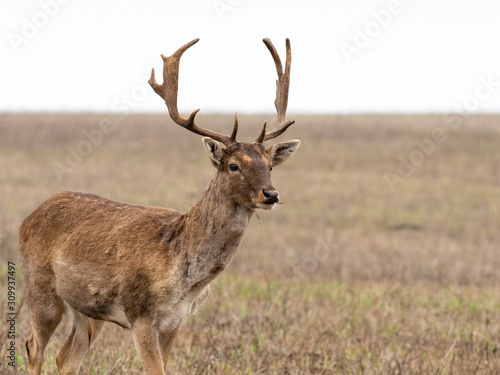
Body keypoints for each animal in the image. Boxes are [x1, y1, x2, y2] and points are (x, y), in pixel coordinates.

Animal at [18, 39, 300, 375]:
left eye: (269, 165)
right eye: (234, 165)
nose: (271, 194)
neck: (182, 272)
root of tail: (26, 221)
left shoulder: (175, 320)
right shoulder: (140, 313)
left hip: (87, 309)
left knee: (65, 358)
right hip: (40, 287)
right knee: (33, 348)